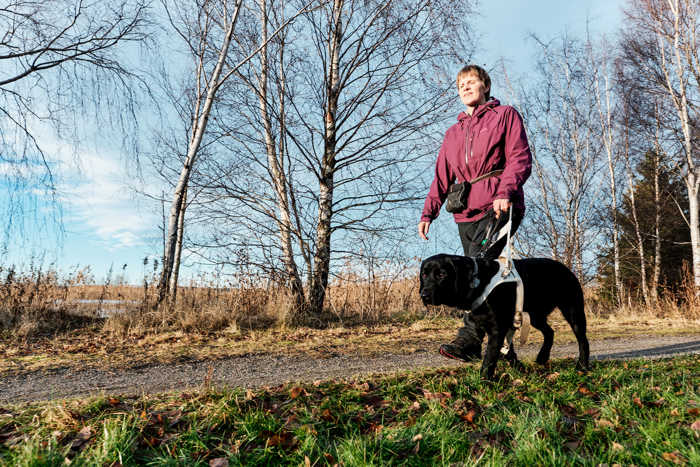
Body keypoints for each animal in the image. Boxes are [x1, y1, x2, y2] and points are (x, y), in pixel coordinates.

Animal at [422, 256, 592, 380]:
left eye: (442, 274)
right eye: (424, 275)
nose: (424, 295)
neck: (479, 283)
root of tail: (566, 268)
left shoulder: (497, 328)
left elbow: (490, 357)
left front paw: (484, 380)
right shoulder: (500, 326)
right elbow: (507, 350)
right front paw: (520, 369)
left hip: (573, 311)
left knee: (583, 340)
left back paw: (582, 367)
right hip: (534, 315)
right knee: (549, 331)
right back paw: (543, 356)